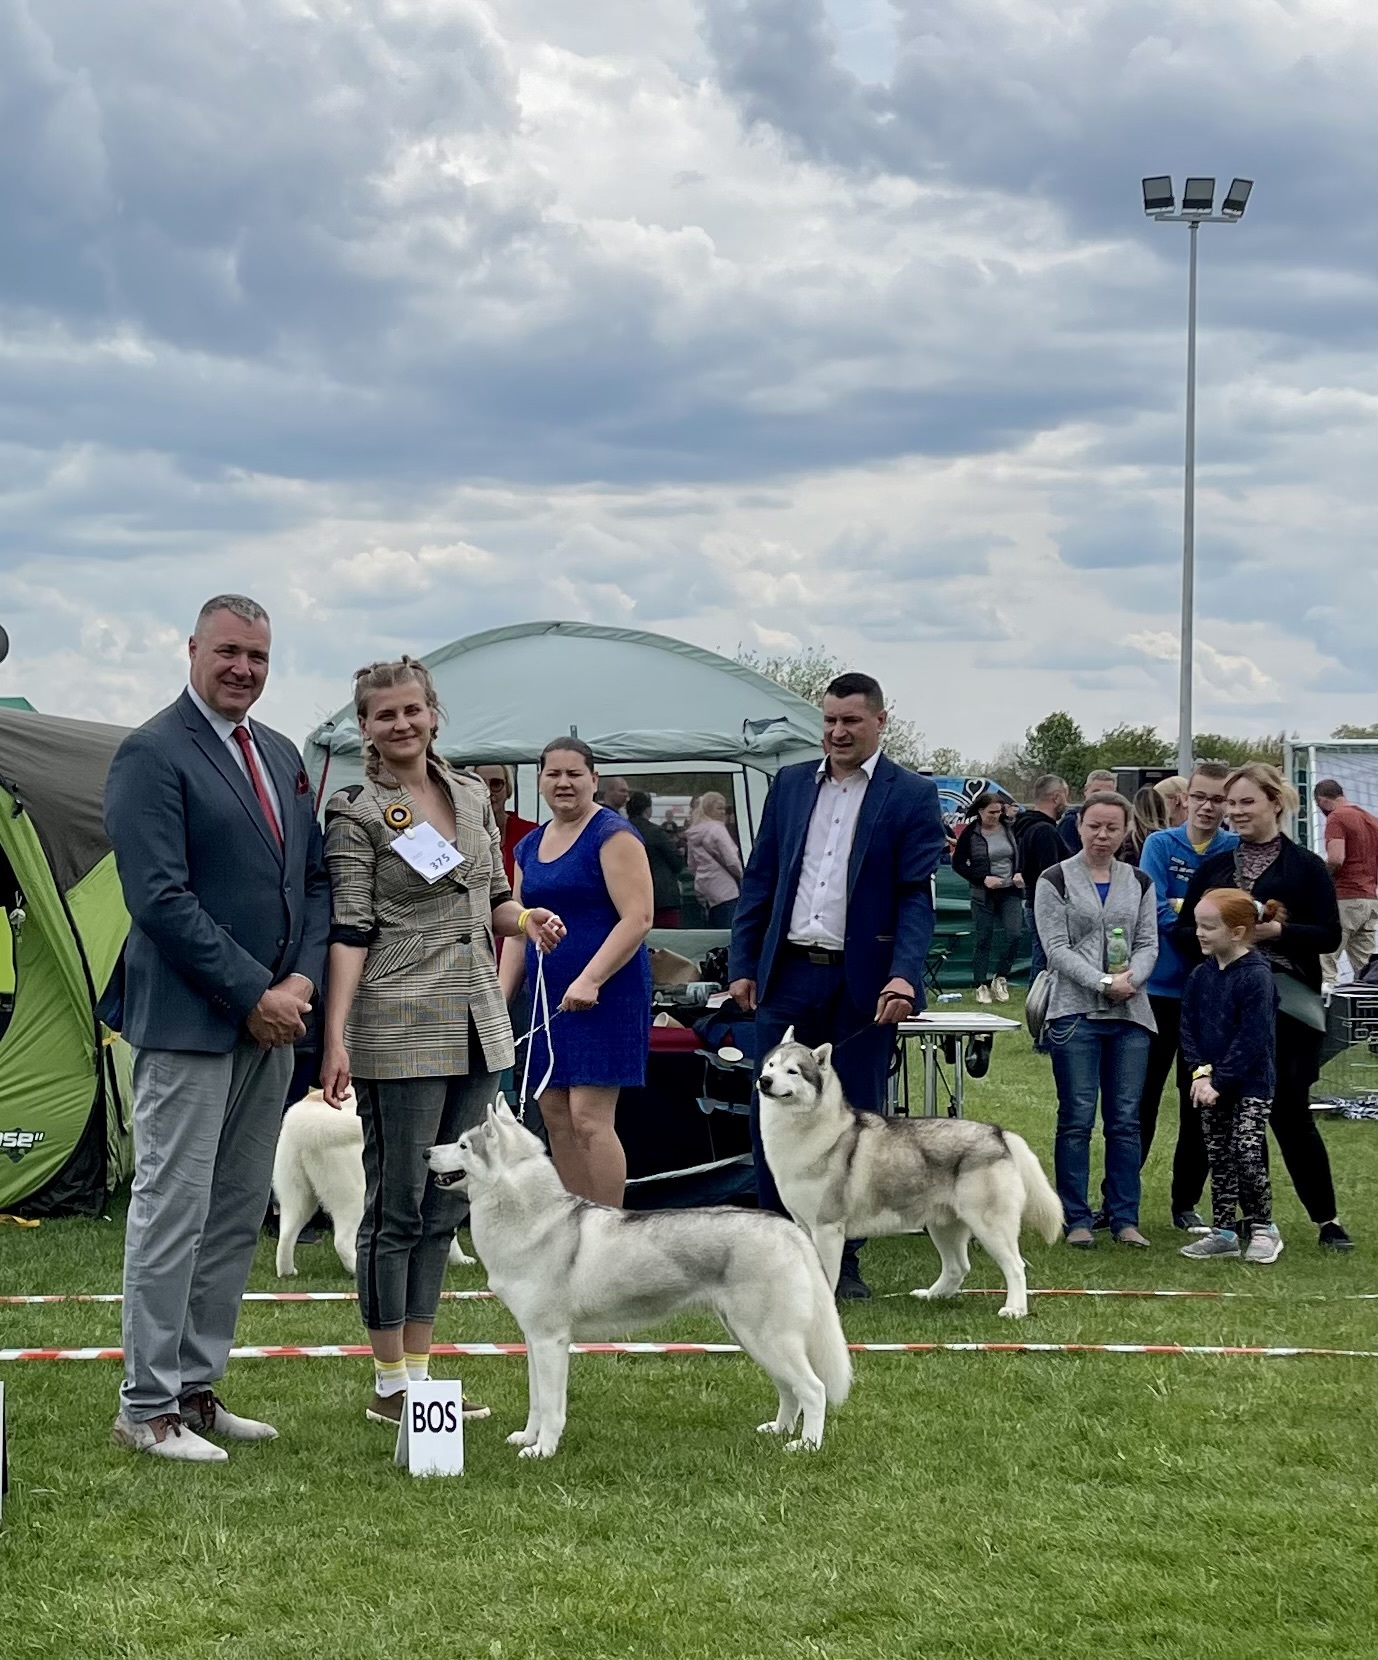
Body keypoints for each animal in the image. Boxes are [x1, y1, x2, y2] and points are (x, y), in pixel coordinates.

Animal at [425, 1108, 850, 1460]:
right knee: (789, 1390)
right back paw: (778, 1430)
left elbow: (551, 1406)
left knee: (814, 1390)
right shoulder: (532, 1340)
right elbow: (536, 1402)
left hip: (768, 1338)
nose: (427, 1152)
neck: (533, 1219)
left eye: (463, 1145)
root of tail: (787, 1227)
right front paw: (528, 1438)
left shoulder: (551, 1341)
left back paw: (806, 1446)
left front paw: (543, 1450)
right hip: (753, 1339)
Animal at [757, 1029, 1069, 1314]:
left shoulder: (828, 1229)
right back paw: (932, 1295)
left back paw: (1014, 1309)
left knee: (1015, 1266)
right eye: (771, 1064)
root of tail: (998, 1133)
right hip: (944, 1225)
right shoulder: (804, 1227)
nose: (764, 1080)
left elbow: (826, 1277)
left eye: (793, 1071)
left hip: (990, 1226)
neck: (808, 1131)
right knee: (958, 1267)